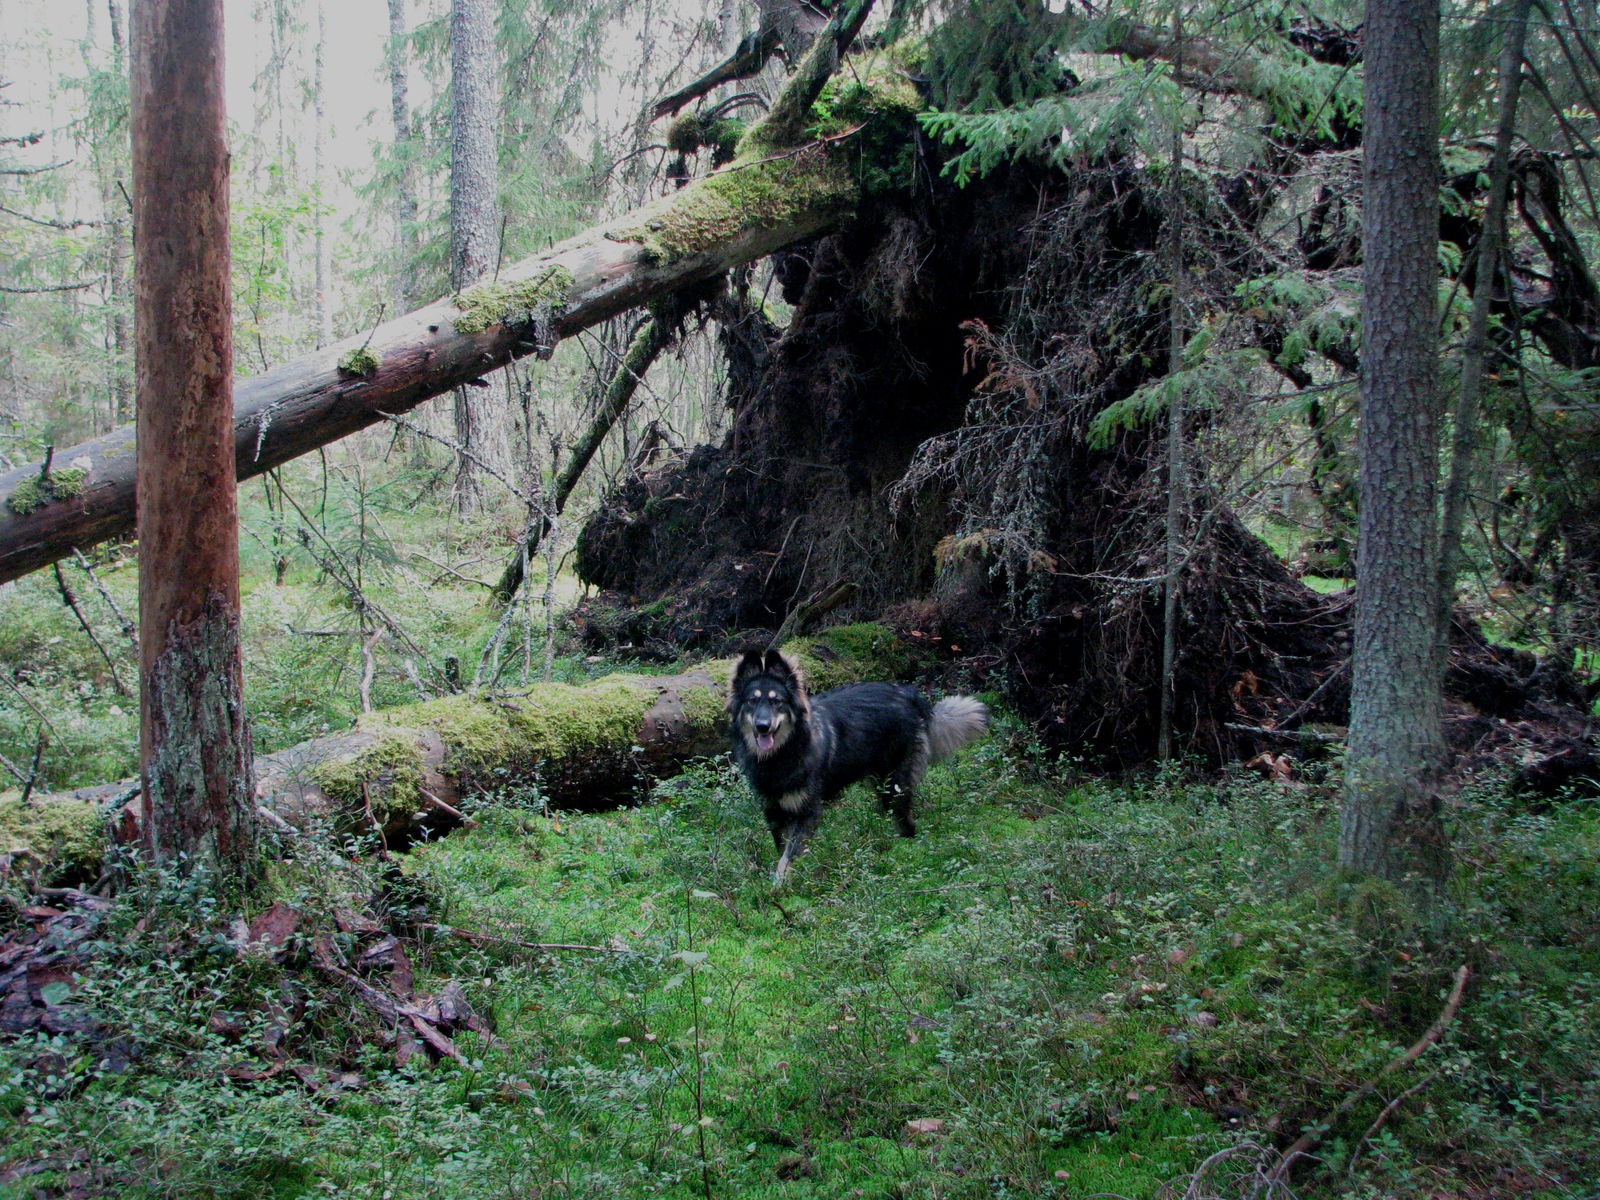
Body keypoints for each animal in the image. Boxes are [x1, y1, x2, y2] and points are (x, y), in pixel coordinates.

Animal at [729, 649, 985, 883]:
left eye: (777, 702)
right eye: (752, 701)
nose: (763, 726)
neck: (782, 755)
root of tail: (909, 694)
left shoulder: (807, 812)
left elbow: (787, 859)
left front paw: (779, 888)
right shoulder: (773, 812)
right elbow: (782, 851)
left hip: (895, 785)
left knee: (907, 824)